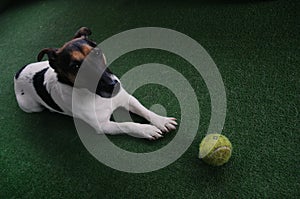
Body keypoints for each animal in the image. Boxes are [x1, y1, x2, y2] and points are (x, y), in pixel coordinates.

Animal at [14, 27, 177, 140]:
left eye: (97, 53)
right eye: (75, 66)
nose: (114, 85)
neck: (97, 96)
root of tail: (17, 73)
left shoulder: (126, 99)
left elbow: (144, 110)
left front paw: (161, 121)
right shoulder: (104, 126)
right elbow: (128, 124)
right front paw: (147, 130)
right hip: (31, 106)